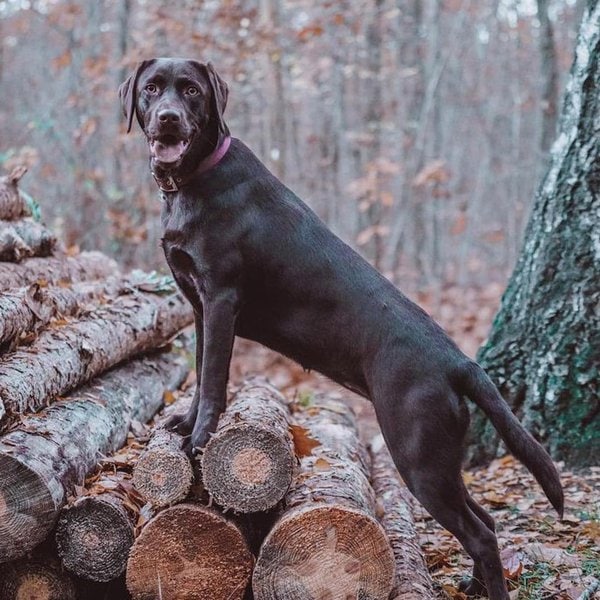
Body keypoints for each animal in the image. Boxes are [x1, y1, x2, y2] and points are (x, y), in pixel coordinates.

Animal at [119, 57, 564, 600]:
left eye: (191, 91)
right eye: (151, 89)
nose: (168, 119)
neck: (195, 181)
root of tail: (461, 362)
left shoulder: (221, 299)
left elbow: (214, 382)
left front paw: (199, 442)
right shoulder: (199, 307)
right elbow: (202, 374)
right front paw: (183, 425)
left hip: (416, 453)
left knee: (479, 531)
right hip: (439, 458)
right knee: (487, 522)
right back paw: (473, 586)